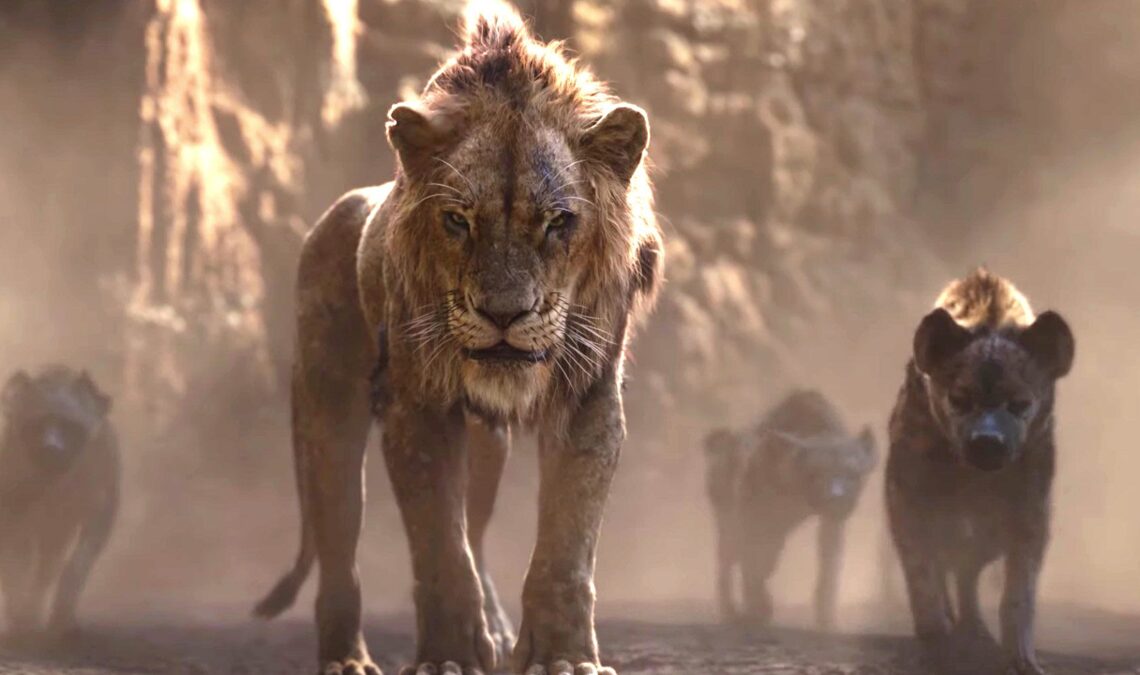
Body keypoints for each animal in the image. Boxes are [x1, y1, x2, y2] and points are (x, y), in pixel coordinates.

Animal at [0, 366, 120, 642]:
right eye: (37, 424)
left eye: (70, 426)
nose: (51, 449)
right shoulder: (12, 509)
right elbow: (15, 566)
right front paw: (21, 617)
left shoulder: (97, 512)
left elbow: (76, 565)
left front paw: (61, 621)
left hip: (57, 530)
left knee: (48, 569)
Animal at [252, 2, 663, 674]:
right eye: (457, 220)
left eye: (558, 222)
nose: (503, 314)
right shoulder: (416, 405)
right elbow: (439, 546)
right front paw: (448, 658)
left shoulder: (589, 399)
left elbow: (565, 547)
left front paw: (561, 657)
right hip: (328, 409)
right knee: (340, 546)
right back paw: (346, 658)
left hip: (486, 445)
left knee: (475, 526)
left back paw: (494, 628)